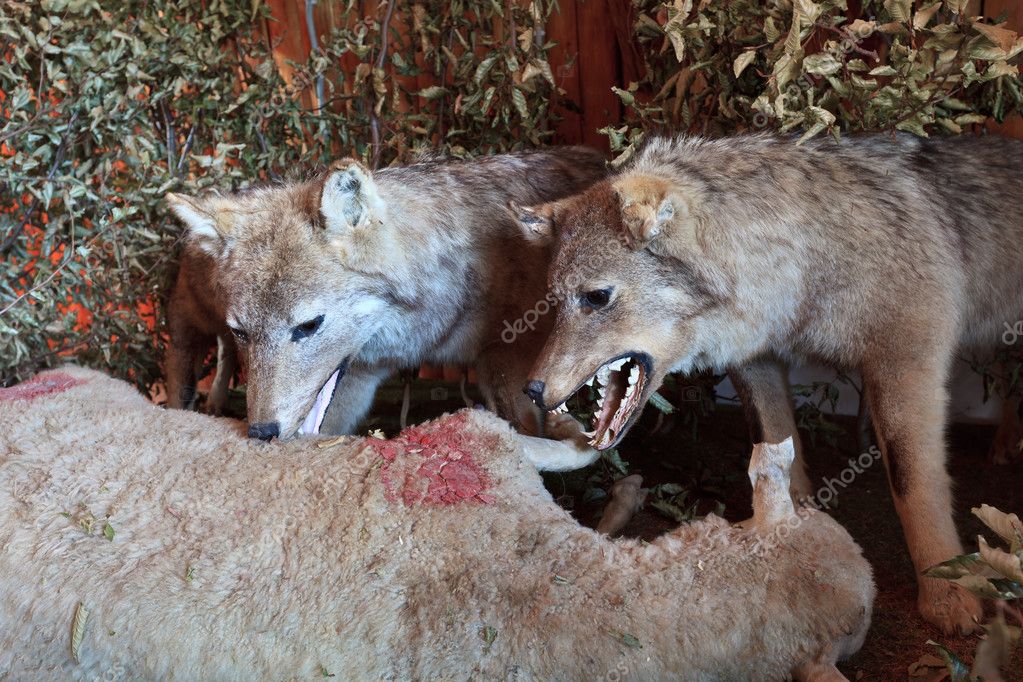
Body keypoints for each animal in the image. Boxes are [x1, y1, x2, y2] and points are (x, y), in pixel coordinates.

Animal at [515, 132, 1023, 633]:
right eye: (554, 301)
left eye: (597, 297)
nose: (531, 390)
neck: (805, 262)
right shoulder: (756, 362)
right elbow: (777, 445)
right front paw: (786, 521)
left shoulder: (906, 366)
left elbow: (913, 484)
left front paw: (946, 590)